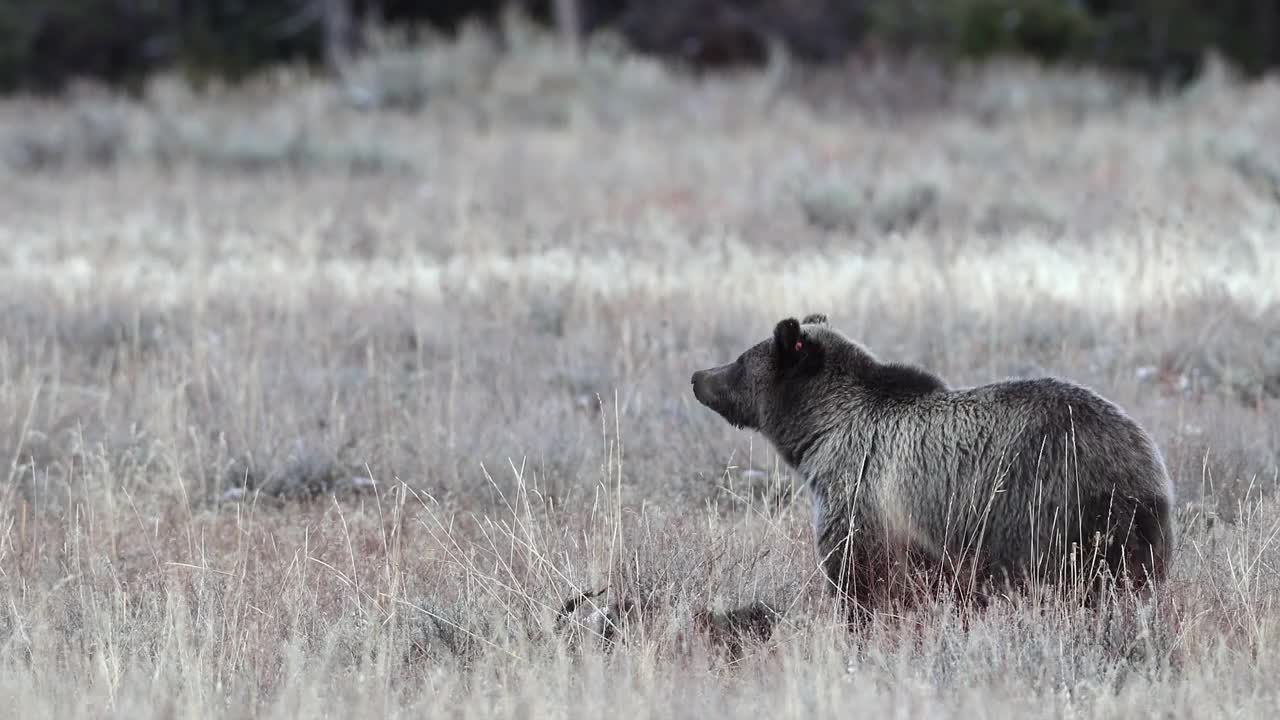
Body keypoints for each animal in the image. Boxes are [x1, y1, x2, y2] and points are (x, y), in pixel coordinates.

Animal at [696, 313, 1172, 617]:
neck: (824, 429)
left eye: (740, 360)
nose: (698, 377)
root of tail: (1141, 461)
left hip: (1049, 505)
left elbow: (859, 578)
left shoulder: (864, 497)